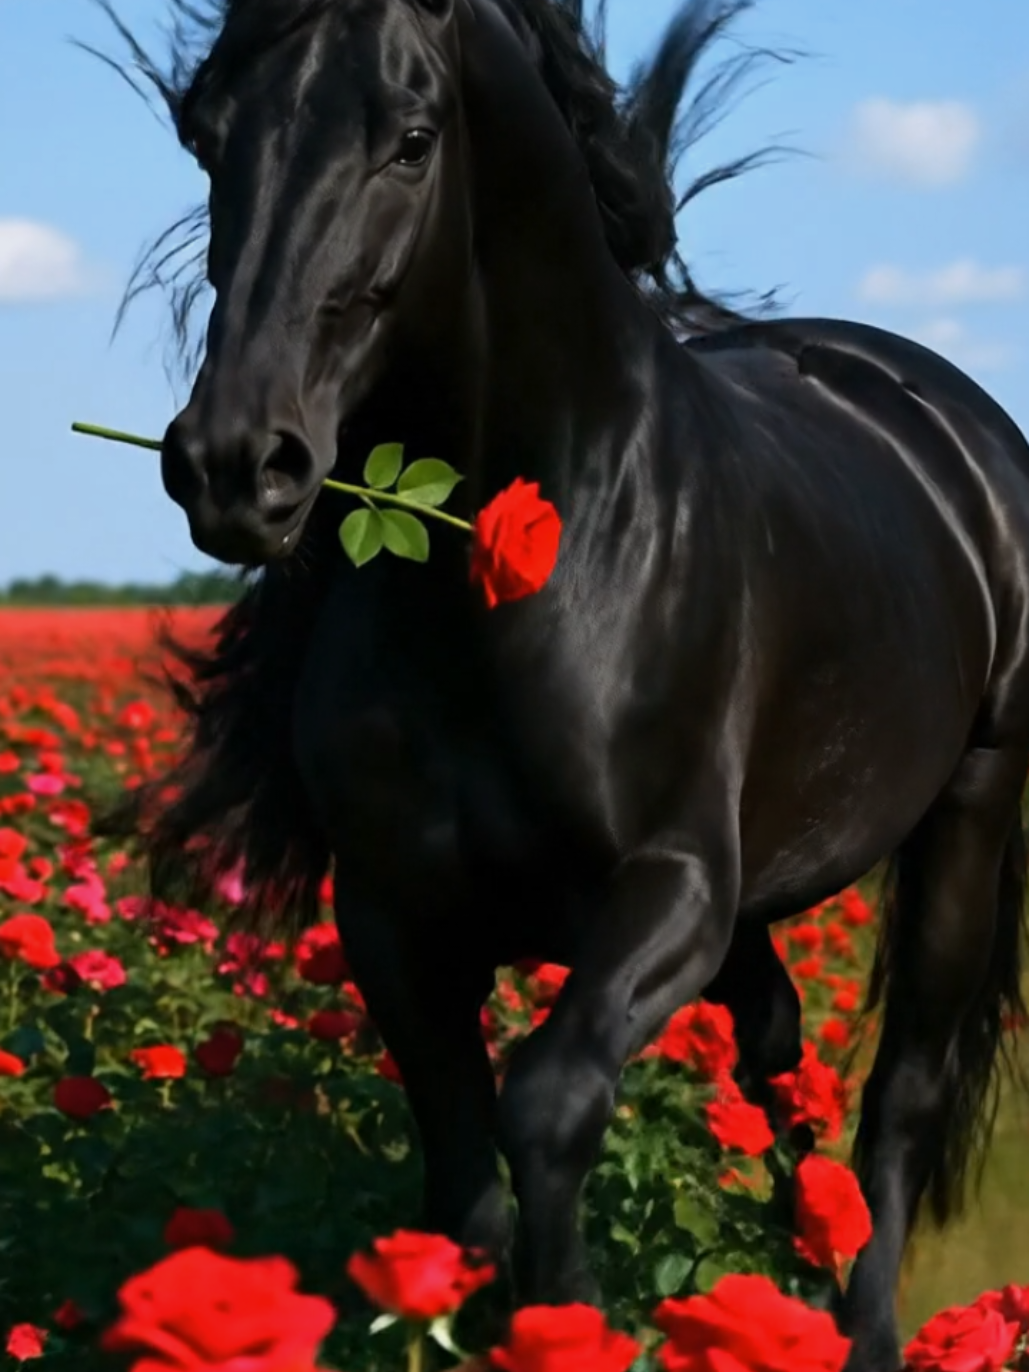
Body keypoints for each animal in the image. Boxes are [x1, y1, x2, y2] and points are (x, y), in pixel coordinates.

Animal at [99, 0, 1029, 1367]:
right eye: (208, 136)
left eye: (413, 140)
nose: (234, 464)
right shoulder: (394, 915)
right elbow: (459, 1184)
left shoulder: (671, 887)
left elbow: (545, 1104)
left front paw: (568, 1316)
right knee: (779, 1051)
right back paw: (797, 1261)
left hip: (968, 811)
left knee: (898, 1094)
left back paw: (857, 1319)